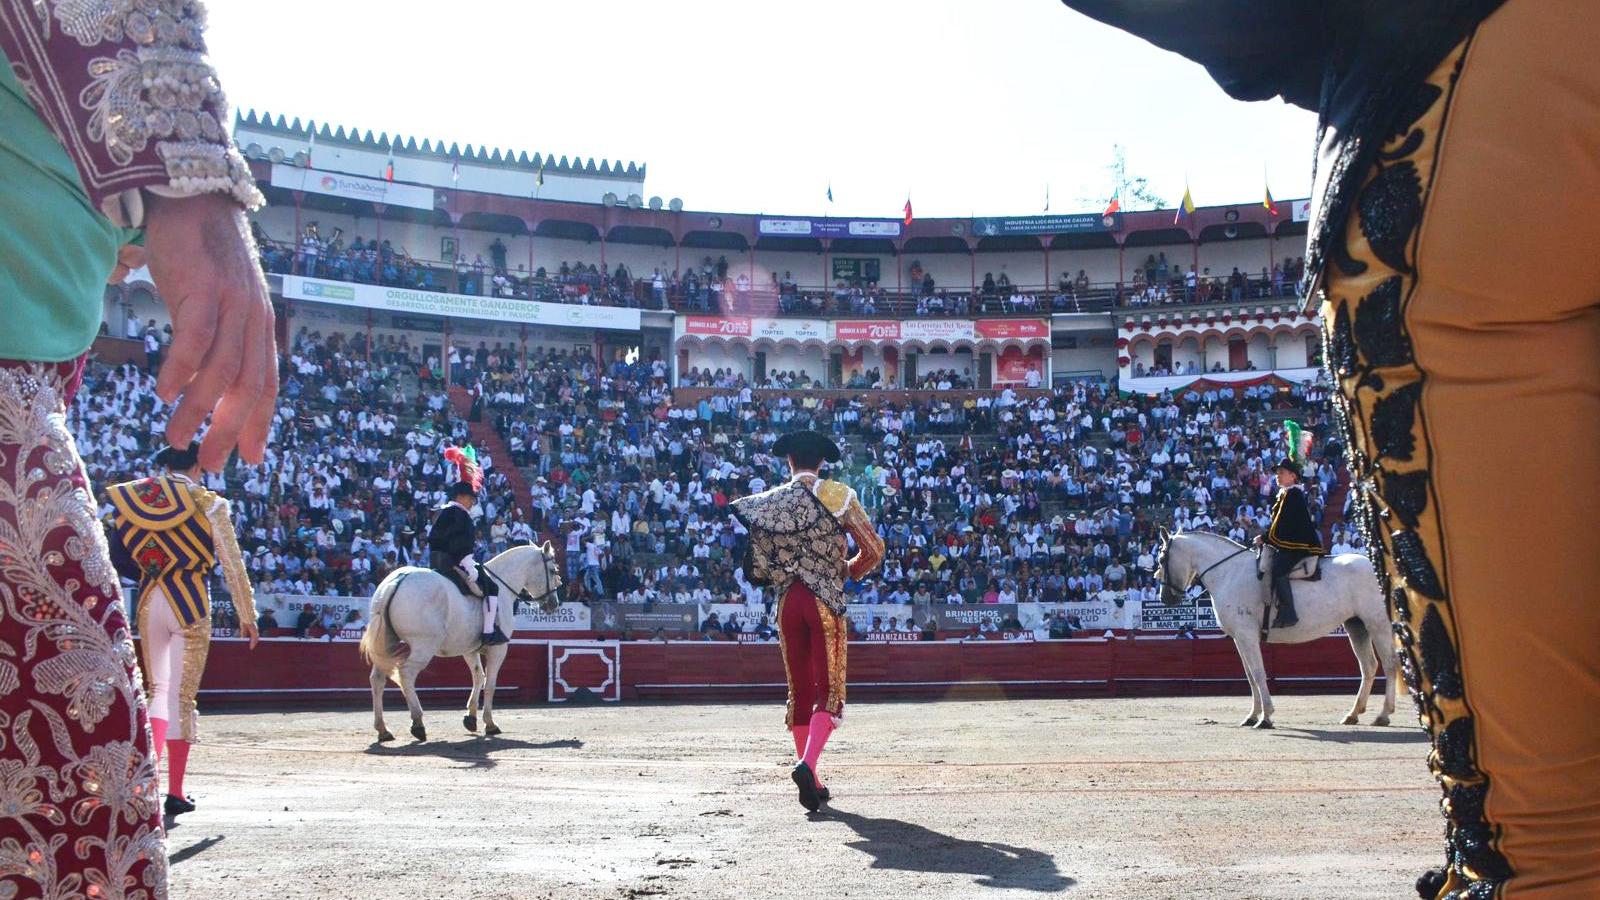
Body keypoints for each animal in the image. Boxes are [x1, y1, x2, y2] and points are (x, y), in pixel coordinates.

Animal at [361, 544, 563, 739]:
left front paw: (471, 718)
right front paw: (490, 723)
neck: (502, 584)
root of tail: (397, 581)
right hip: (422, 647)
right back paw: (418, 723)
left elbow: (478, 676)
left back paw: (383, 730)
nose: (554, 603)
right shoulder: (498, 649)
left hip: (387, 644)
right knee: (406, 674)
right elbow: (490, 684)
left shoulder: (469, 649)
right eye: (552, 570)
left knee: (377, 678)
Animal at [1158, 528, 1395, 723]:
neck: (1229, 572)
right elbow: (1250, 676)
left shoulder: (1247, 636)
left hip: (1378, 624)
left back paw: (1383, 715)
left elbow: (1258, 672)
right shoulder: (1239, 639)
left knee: (1390, 663)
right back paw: (1353, 714)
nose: (1166, 598)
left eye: (1161, 558)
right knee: (1368, 666)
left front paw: (1266, 716)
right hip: (1356, 626)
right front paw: (1252, 716)